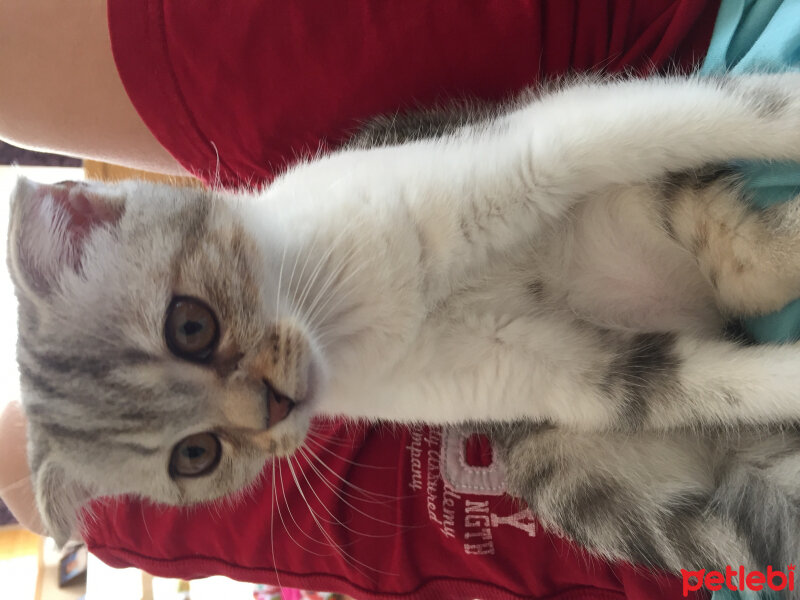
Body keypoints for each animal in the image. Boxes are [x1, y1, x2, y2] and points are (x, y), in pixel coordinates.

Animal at [10, 74, 800, 584]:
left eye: (191, 325)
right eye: (196, 456)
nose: (274, 406)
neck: (349, 309)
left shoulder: (545, 142)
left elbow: (740, 107)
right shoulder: (564, 375)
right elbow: (713, 384)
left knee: (723, 230)